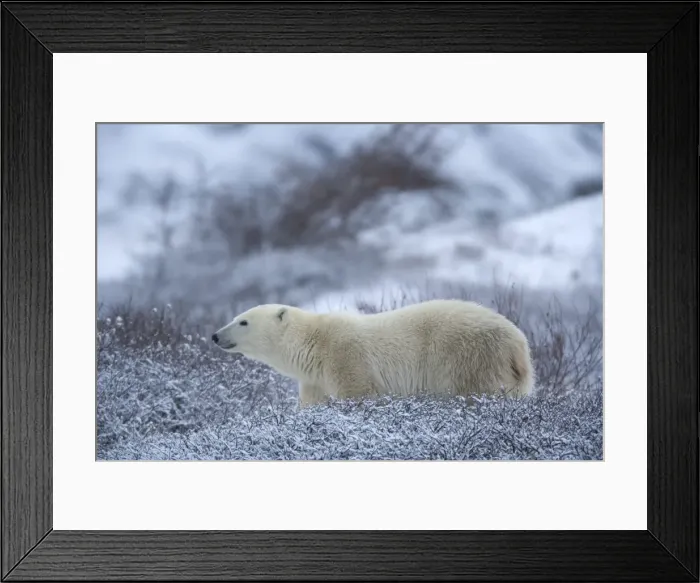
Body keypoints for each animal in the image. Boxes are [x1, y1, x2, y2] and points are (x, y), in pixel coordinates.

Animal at [212, 299, 535, 408]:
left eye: (243, 321)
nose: (215, 335)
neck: (313, 342)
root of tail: (519, 345)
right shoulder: (315, 379)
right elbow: (312, 405)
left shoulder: (345, 356)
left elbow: (359, 395)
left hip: (470, 358)